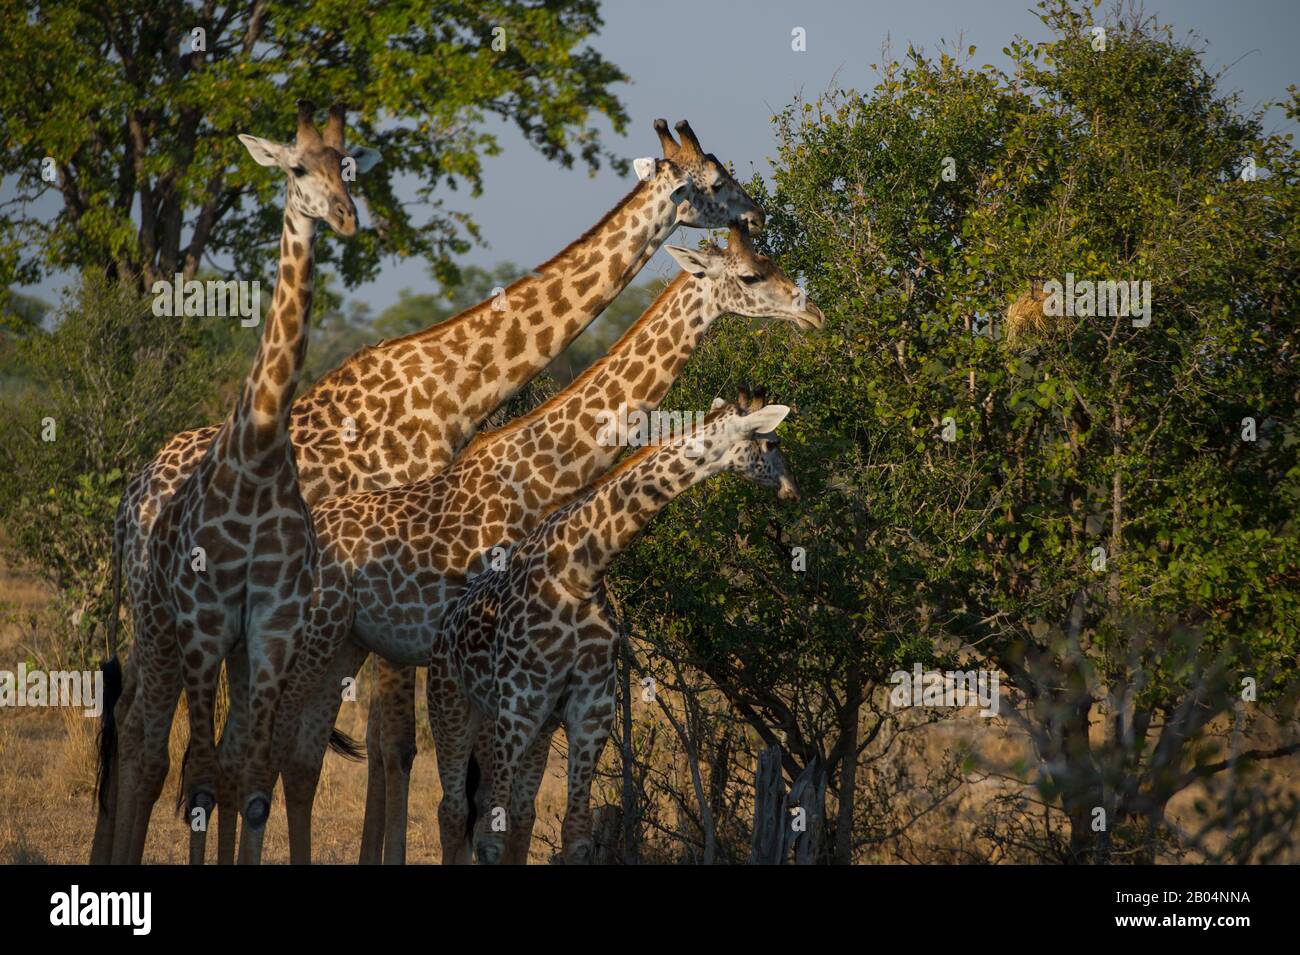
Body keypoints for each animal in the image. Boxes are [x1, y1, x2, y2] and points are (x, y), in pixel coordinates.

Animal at [104, 102, 380, 865]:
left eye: (348, 165)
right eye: (297, 166)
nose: (346, 217)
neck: (257, 453)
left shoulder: (271, 627)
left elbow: (251, 780)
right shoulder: (203, 621)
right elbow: (199, 777)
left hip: (225, 650)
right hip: (157, 622)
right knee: (145, 744)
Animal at [429, 391, 795, 864]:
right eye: (771, 443)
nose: (793, 489)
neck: (580, 571)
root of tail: (446, 624)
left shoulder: (589, 710)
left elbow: (575, 836)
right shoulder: (519, 704)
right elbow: (491, 836)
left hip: (535, 725)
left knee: (522, 815)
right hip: (455, 703)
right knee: (454, 810)